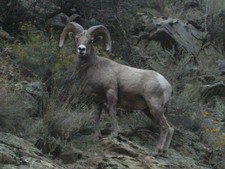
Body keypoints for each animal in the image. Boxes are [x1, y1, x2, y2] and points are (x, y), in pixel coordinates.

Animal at [58, 21, 174, 154]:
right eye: (77, 39)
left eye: (91, 41)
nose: (81, 49)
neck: (92, 68)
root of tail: (166, 84)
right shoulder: (97, 100)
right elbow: (97, 116)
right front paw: (96, 136)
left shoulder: (111, 92)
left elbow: (112, 112)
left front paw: (114, 134)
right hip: (149, 111)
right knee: (170, 128)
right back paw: (164, 151)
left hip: (155, 108)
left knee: (165, 127)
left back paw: (156, 151)